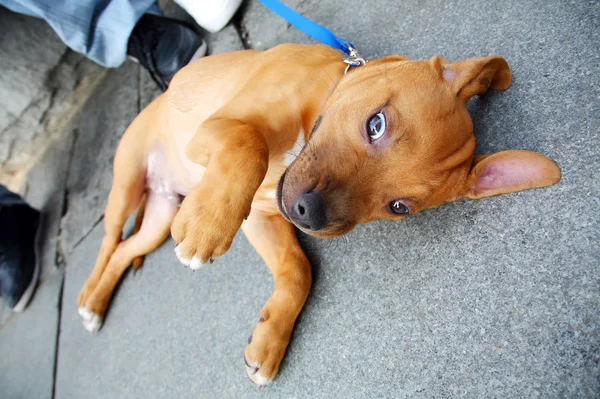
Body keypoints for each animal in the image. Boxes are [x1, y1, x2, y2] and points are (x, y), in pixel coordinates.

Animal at [77, 43, 560, 388]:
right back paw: (88, 299)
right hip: (126, 184)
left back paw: (97, 302)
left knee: (125, 249)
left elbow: (298, 268)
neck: (319, 100)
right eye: (376, 124)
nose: (309, 214)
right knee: (108, 242)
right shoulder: (217, 129)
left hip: (159, 218)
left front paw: (269, 340)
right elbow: (249, 144)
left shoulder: (261, 215)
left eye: (399, 207)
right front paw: (209, 224)